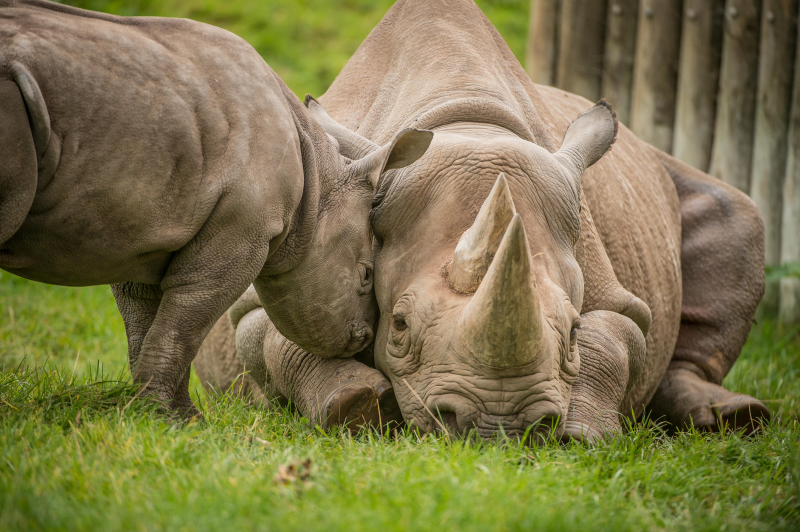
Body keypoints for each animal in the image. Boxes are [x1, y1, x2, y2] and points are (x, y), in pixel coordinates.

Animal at [0, 0, 431, 417]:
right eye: (365, 275)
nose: (363, 338)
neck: (316, 191)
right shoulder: (239, 231)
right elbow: (185, 324)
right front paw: (170, 417)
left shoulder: (143, 231)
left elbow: (147, 322)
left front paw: (165, 414)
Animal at [196, 0, 771, 441]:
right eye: (398, 326)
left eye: (573, 329)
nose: (499, 425)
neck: (468, 123)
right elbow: (276, 341)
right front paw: (354, 407)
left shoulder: (603, 274)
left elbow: (616, 340)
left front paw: (585, 433)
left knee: (739, 214)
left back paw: (734, 418)